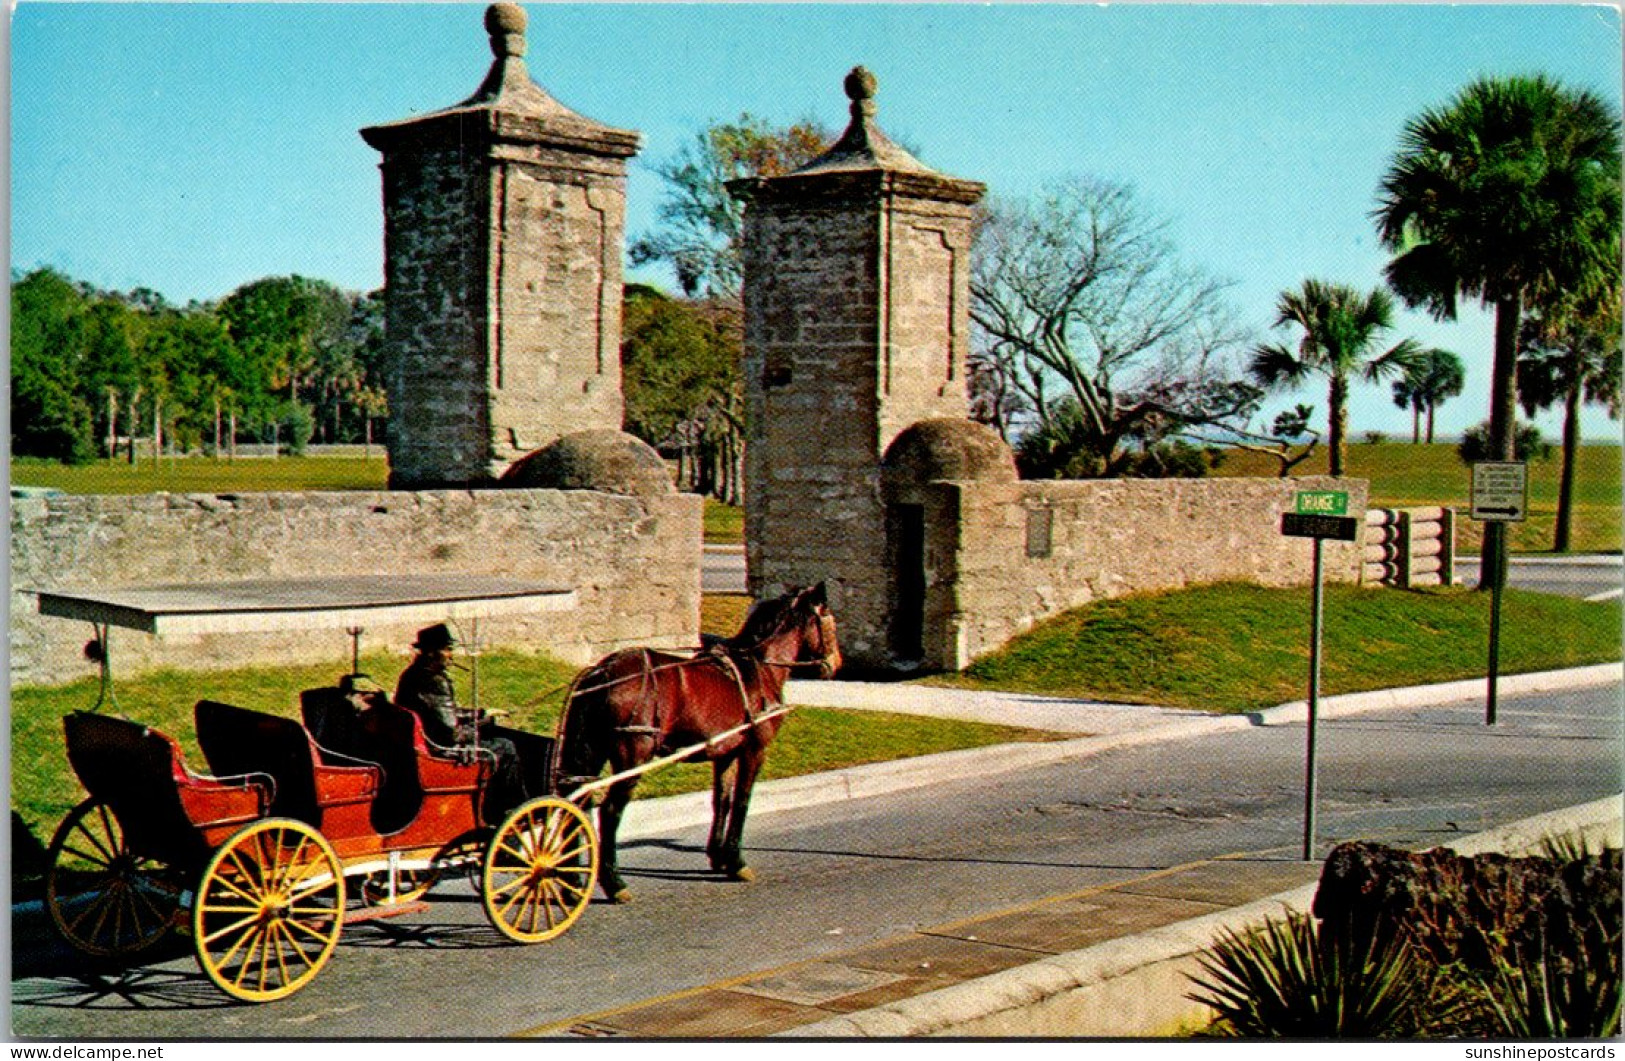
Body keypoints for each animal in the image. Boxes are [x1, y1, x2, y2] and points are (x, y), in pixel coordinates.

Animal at [555, 584, 845, 896]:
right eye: (830, 620)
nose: (836, 663)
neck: (759, 668)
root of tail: (601, 671)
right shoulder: (754, 749)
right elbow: (742, 801)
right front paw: (736, 861)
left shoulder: (726, 751)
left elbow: (723, 800)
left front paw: (719, 858)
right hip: (632, 754)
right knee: (609, 811)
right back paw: (613, 881)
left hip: (592, 751)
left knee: (577, 802)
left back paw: (572, 880)